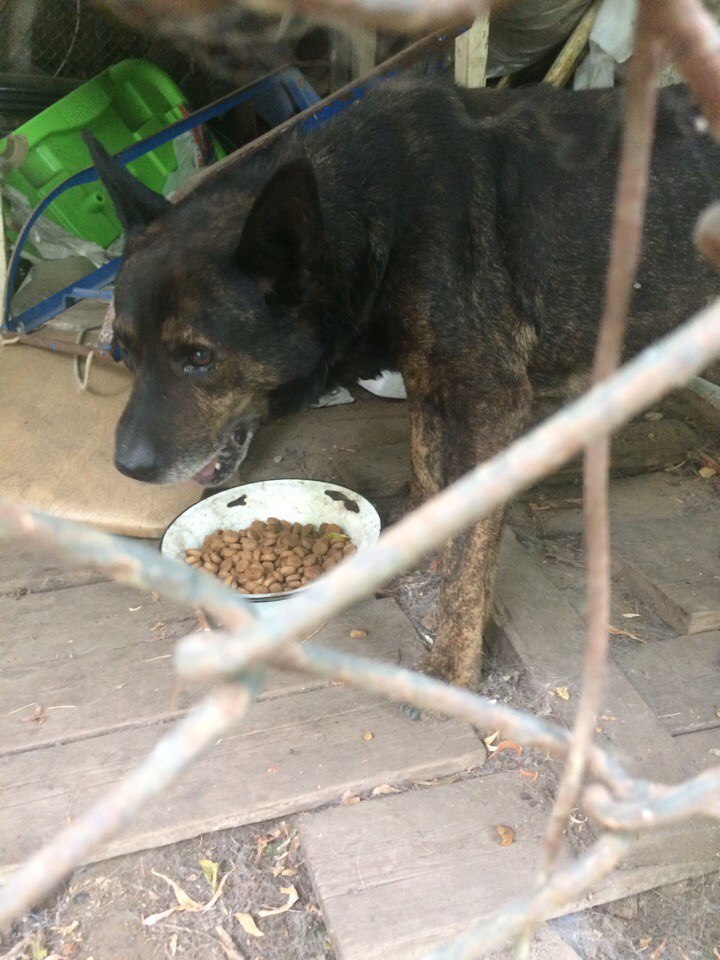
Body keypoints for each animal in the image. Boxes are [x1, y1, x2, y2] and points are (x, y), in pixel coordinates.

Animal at [87, 77, 720, 688]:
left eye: (199, 357)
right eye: (123, 351)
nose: (127, 467)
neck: (374, 215)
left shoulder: (490, 401)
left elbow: (470, 550)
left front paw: (452, 664)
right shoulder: (432, 381)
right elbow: (427, 469)